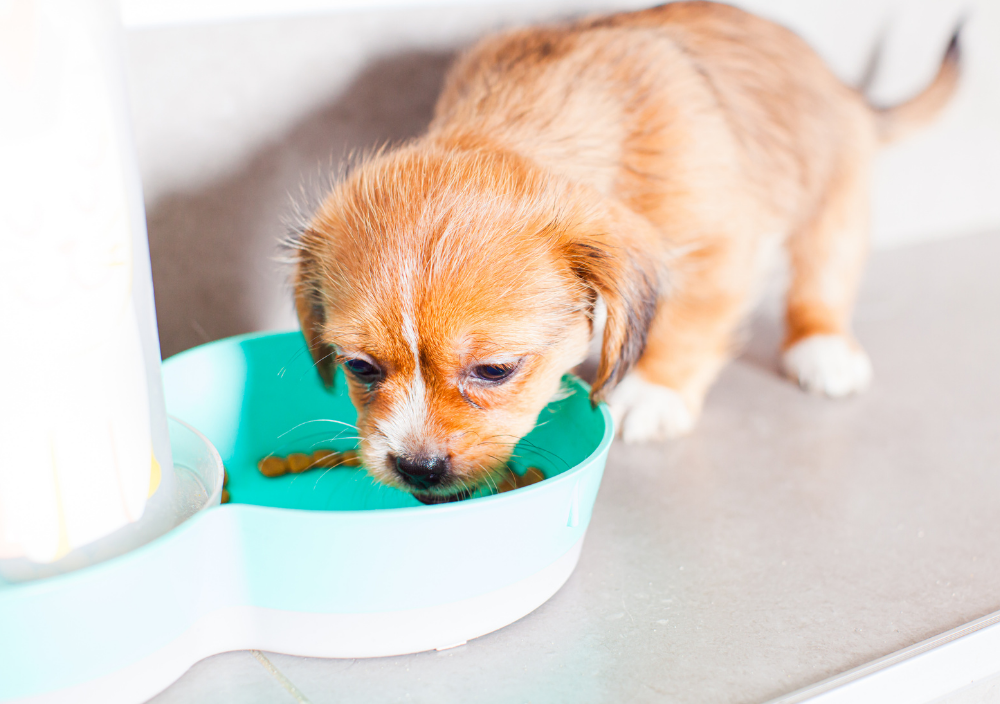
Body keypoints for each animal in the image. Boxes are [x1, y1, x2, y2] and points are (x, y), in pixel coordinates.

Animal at [292, 2, 960, 504]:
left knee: (823, 280)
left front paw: (653, 393)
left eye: (496, 370)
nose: (417, 469)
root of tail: (847, 90)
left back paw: (822, 348)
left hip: (834, 205)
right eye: (359, 367)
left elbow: (687, 326)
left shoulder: (717, 247)